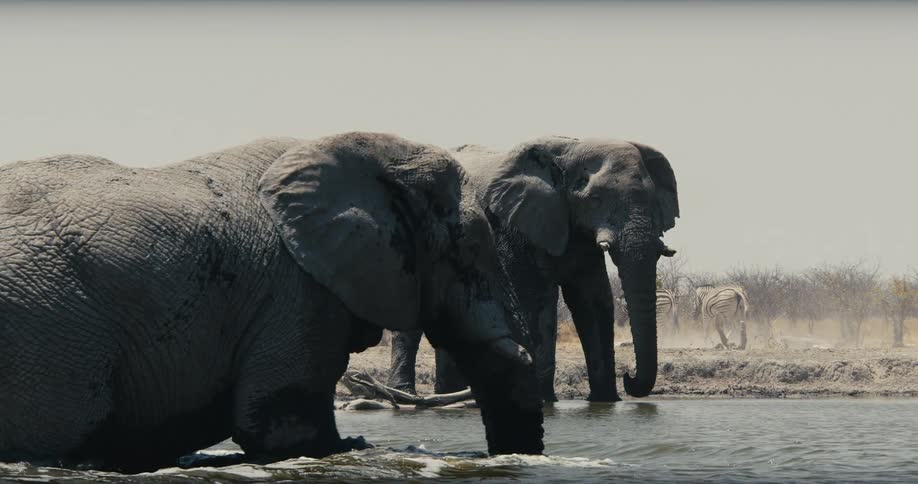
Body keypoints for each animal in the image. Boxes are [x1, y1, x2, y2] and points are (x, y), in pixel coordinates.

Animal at [389, 137, 679, 402]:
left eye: (653, 201)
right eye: (595, 200)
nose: (629, 376)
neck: (572, 151)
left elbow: (593, 301)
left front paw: (605, 402)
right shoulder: (515, 226)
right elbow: (536, 299)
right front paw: (541, 400)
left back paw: (451, 394)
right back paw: (406, 395)